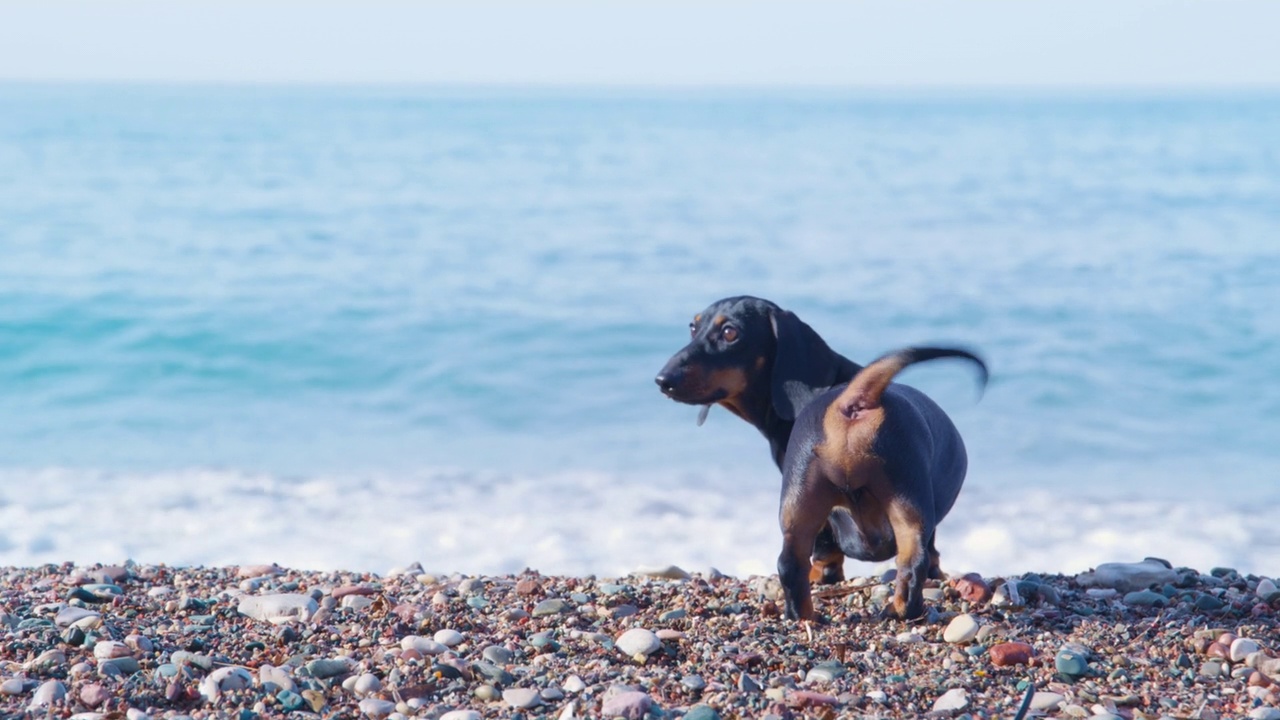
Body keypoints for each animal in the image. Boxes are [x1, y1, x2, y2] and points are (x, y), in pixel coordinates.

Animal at [768, 345, 988, 620]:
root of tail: (855, 401)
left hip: (800, 498)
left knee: (790, 563)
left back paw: (802, 615)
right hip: (907, 494)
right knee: (914, 562)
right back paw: (905, 610)